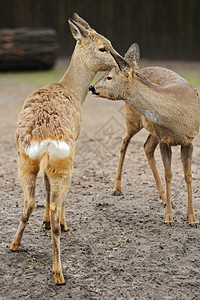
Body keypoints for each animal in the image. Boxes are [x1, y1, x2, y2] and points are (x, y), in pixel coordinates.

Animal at [9, 12, 120, 284]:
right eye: (103, 47)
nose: (119, 63)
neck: (71, 90)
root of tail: (44, 139)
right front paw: (59, 221)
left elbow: (45, 190)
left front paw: (45, 222)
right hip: (64, 164)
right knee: (54, 201)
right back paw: (59, 272)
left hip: (24, 160)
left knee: (29, 202)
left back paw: (15, 244)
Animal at [90, 42, 199, 225]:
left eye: (109, 77)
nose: (92, 87)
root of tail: (141, 68)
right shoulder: (164, 140)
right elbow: (169, 174)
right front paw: (169, 217)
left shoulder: (189, 140)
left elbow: (188, 175)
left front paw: (191, 217)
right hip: (132, 119)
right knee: (124, 142)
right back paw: (117, 187)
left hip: (152, 130)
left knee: (146, 147)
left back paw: (163, 197)